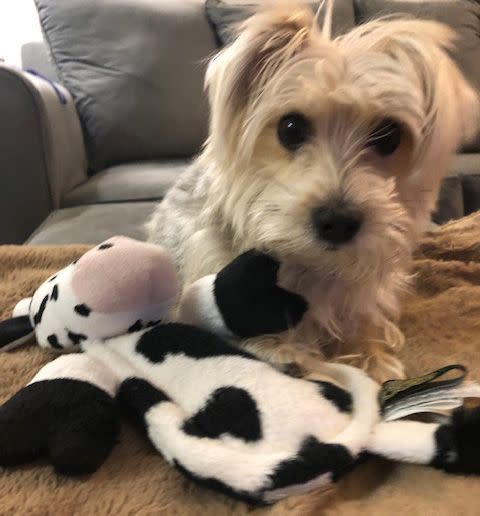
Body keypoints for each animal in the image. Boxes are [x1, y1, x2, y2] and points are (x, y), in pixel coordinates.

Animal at [148, 1, 478, 382]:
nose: (338, 222)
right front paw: (279, 348)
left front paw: (372, 357)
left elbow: (365, 325)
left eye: (389, 136)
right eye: (290, 128)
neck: (310, 262)